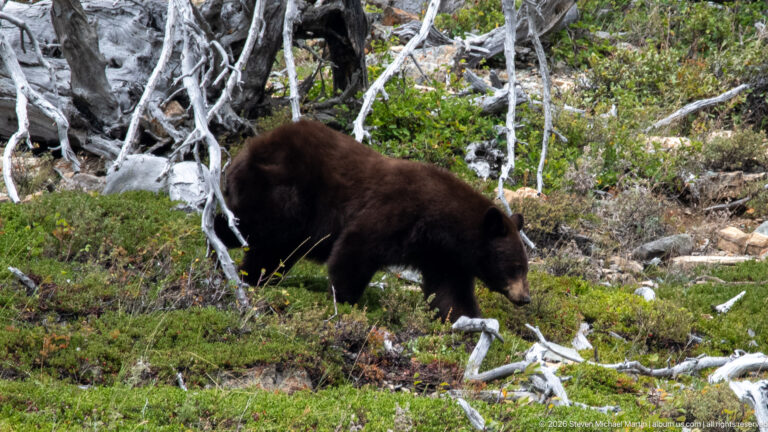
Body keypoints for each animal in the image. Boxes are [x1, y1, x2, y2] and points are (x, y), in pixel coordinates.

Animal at [214, 120, 530, 321]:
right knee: (252, 229)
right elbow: (355, 249)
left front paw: (469, 322)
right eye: (515, 266)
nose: (525, 298)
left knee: (268, 248)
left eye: (524, 268)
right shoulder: (397, 213)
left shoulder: (443, 256)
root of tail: (250, 147)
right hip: (282, 195)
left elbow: (450, 293)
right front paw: (345, 299)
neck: (442, 224)